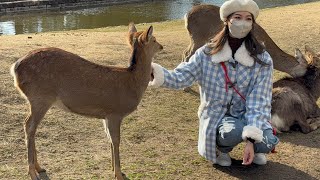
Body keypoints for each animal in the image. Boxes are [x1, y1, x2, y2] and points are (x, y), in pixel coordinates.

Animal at [11, 23, 164, 179]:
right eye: (154, 39)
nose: (162, 46)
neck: (132, 83)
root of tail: (15, 68)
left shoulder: (105, 115)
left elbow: (109, 139)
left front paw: (114, 169)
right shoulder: (115, 112)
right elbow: (116, 140)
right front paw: (118, 173)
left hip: (36, 100)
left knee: (30, 126)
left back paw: (39, 167)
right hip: (40, 98)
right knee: (29, 125)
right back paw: (32, 172)